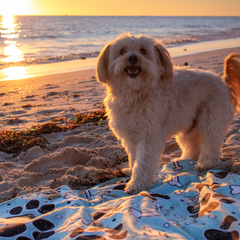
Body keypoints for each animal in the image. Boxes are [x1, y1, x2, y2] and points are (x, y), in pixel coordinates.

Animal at [95, 32, 240, 194]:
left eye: (143, 51)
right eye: (122, 51)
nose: (132, 58)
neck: (135, 93)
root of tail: (225, 83)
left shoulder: (149, 136)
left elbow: (143, 162)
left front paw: (137, 184)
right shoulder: (130, 135)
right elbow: (134, 158)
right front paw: (131, 171)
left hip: (212, 118)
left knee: (211, 143)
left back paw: (206, 164)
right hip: (189, 124)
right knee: (193, 145)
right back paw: (184, 160)